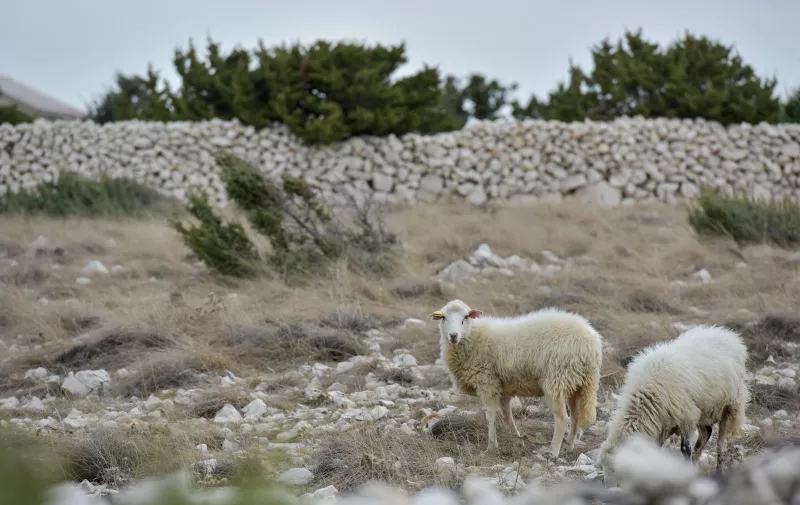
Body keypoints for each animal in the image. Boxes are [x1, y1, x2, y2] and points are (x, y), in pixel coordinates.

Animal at [428, 300, 604, 456]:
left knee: (562, 419)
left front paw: (491, 447)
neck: (473, 336)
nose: (453, 335)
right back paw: (569, 446)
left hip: (556, 380)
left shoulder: (487, 382)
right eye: (443, 317)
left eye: (465, 317)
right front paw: (518, 441)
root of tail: (590, 343)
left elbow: (490, 416)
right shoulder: (502, 388)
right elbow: (507, 416)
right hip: (578, 383)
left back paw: (553, 451)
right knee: (576, 416)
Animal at [600, 322, 752, 484]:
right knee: (706, 434)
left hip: (730, 405)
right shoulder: (663, 424)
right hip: (703, 409)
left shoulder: (686, 418)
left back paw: (718, 472)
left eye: (617, 469)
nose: (608, 487)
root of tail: (727, 334)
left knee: (720, 444)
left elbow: (685, 449)